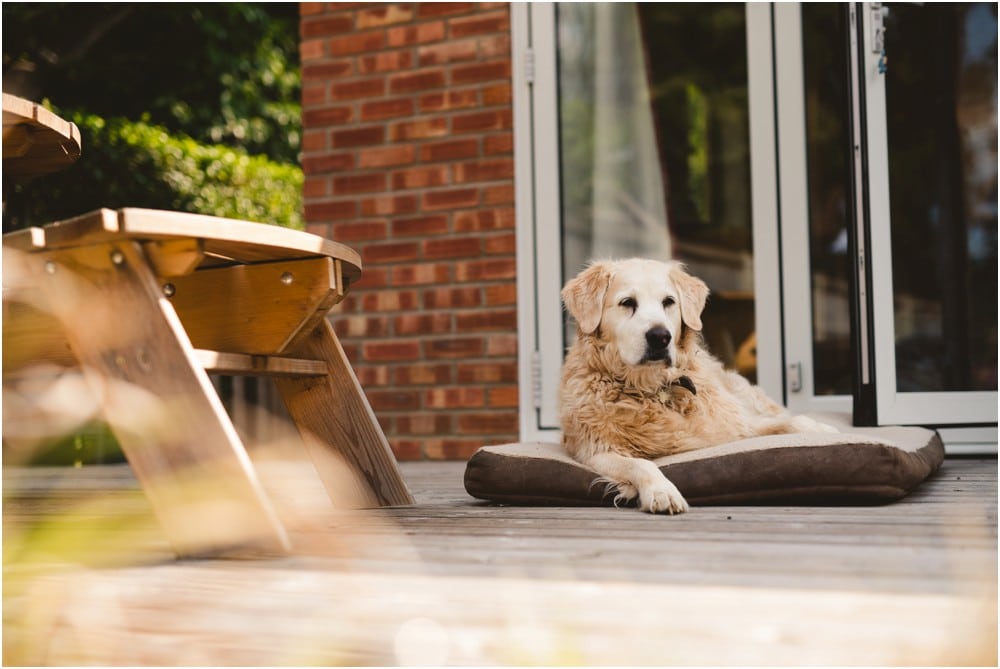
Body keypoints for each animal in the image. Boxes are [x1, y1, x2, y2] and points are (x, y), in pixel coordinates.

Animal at [564, 258, 836, 512]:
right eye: (627, 303)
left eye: (668, 302)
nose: (660, 337)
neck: (654, 389)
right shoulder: (597, 450)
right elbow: (641, 464)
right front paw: (662, 491)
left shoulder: (737, 426)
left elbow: (792, 422)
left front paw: (825, 430)